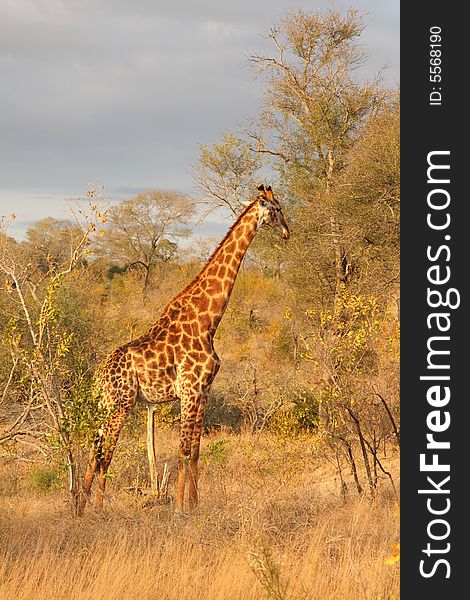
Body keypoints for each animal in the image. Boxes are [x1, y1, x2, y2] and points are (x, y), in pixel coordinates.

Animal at [78, 185, 290, 512]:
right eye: (276, 208)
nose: (287, 232)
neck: (208, 320)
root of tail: (99, 377)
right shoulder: (190, 390)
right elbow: (183, 450)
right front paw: (180, 507)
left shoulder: (203, 391)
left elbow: (195, 451)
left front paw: (194, 504)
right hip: (121, 403)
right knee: (106, 451)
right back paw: (99, 507)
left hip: (104, 404)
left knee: (94, 448)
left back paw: (81, 506)